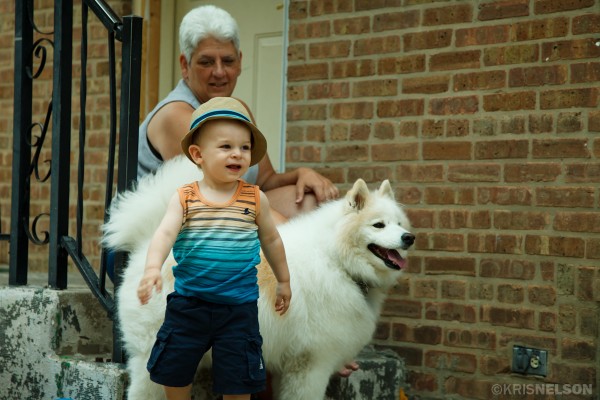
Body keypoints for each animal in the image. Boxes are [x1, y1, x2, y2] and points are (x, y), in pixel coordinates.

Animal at [102, 157, 412, 400]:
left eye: (399, 224)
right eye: (378, 225)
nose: (409, 237)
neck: (336, 259)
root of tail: (148, 244)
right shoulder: (311, 364)